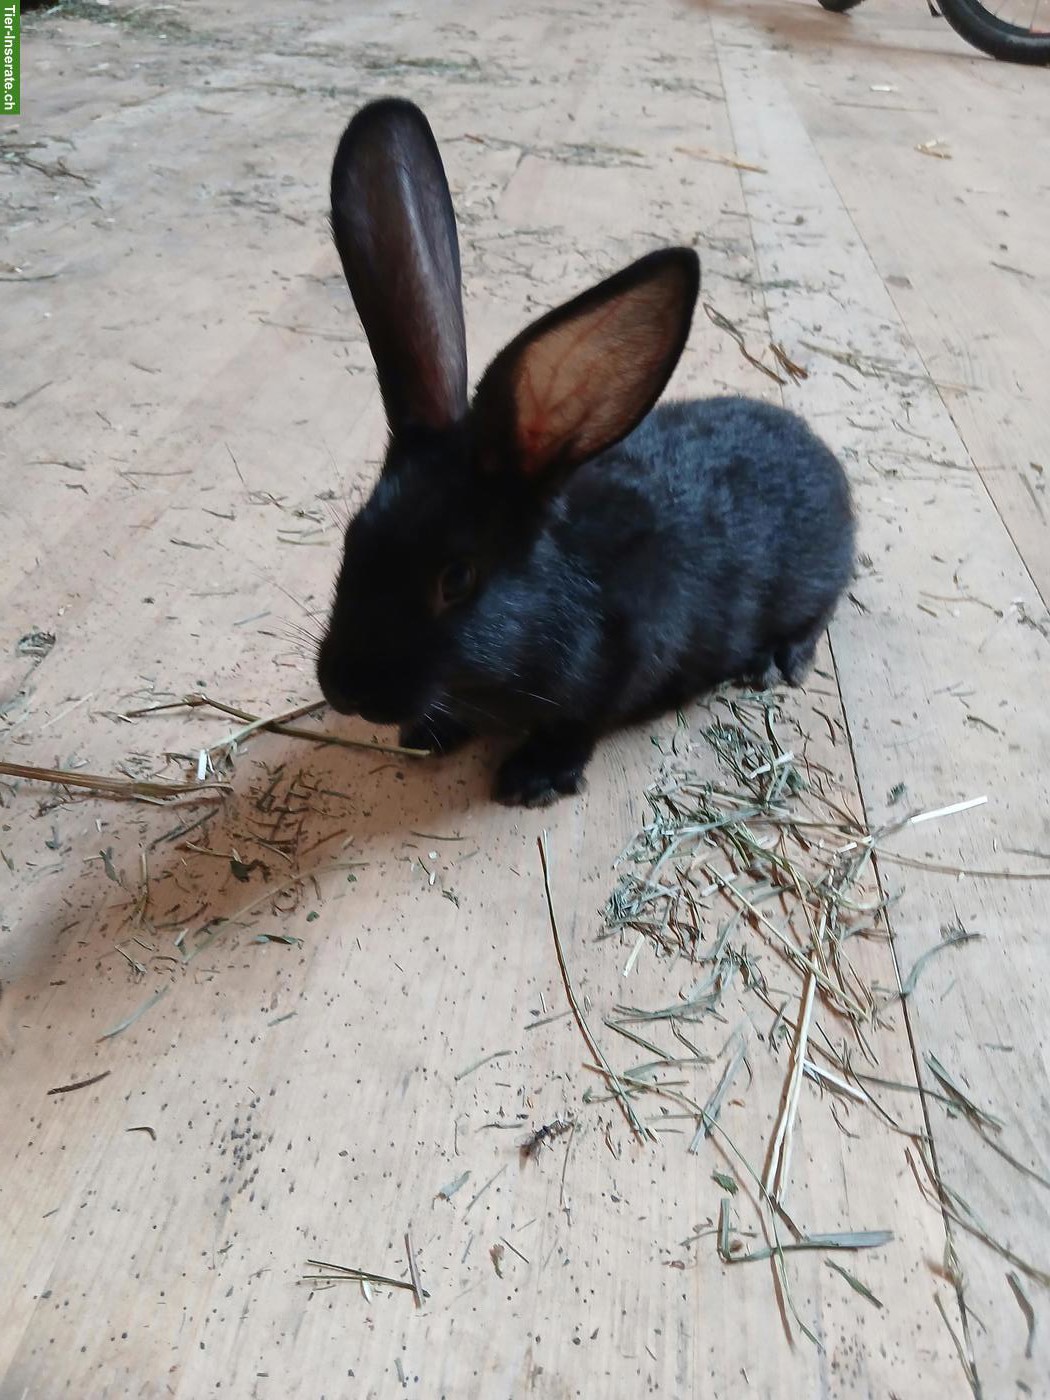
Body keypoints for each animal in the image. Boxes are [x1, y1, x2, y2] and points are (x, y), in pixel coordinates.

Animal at [316, 98, 855, 807]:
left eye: (456, 579)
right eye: (353, 538)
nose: (341, 688)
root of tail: (824, 458)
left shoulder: (618, 671)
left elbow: (575, 728)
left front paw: (531, 780)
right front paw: (428, 733)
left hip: (814, 582)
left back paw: (773, 662)